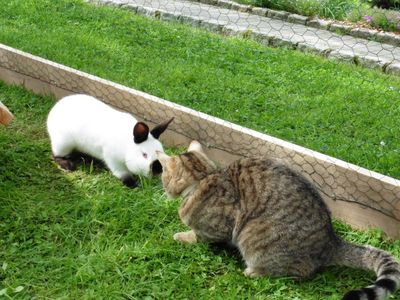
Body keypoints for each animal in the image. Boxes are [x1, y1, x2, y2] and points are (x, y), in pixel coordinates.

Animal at [155, 141, 400, 300]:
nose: (161, 187)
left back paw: (253, 272)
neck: (205, 177)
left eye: (163, 175)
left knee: (295, 273)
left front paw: (183, 235)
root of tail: (331, 241)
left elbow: (199, 235)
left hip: (254, 237)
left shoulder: (221, 226)